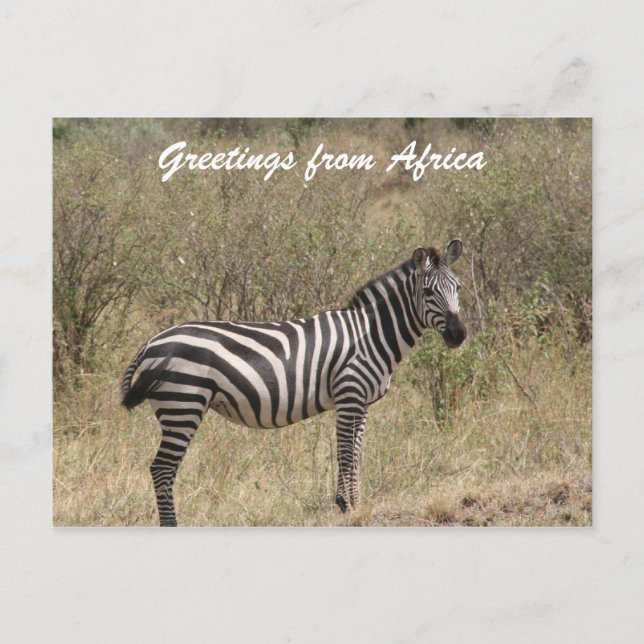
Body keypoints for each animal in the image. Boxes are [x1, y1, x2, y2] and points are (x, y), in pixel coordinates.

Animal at [121, 240, 467, 526]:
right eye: (428, 293)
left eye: (458, 288)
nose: (459, 335)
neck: (370, 334)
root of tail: (151, 341)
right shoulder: (349, 395)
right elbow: (345, 454)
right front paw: (347, 506)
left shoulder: (362, 404)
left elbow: (356, 454)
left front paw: (353, 504)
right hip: (183, 405)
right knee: (162, 469)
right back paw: (171, 525)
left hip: (179, 407)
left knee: (162, 468)